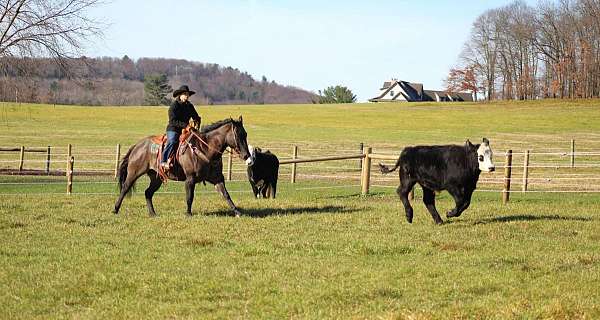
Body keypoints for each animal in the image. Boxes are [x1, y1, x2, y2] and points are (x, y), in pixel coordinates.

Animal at [112, 116, 253, 216]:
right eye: (238, 135)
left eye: (245, 134)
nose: (246, 155)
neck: (205, 148)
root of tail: (137, 145)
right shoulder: (190, 179)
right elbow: (189, 197)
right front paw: (188, 213)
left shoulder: (217, 179)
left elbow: (226, 194)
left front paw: (237, 212)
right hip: (134, 173)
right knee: (125, 188)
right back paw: (115, 209)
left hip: (156, 178)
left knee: (148, 193)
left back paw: (153, 213)